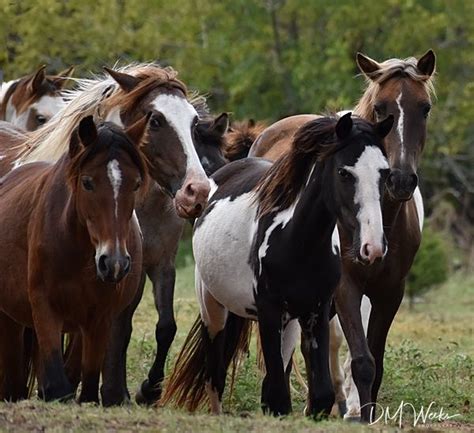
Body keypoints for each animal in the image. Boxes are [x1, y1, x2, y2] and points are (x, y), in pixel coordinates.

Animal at [0, 115, 150, 402]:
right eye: (87, 182)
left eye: (136, 183)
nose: (113, 263)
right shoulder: (45, 309)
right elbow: (58, 388)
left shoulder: (99, 319)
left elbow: (87, 389)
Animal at [161, 113, 394, 416]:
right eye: (344, 173)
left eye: (385, 173)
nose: (373, 246)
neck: (297, 240)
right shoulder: (269, 312)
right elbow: (278, 398)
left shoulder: (316, 312)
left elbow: (318, 396)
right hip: (213, 308)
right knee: (215, 376)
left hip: (289, 322)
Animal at [248, 49, 436, 418]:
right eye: (380, 106)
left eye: (425, 107)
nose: (400, 180)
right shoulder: (344, 287)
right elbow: (361, 359)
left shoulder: (390, 293)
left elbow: (374, 359)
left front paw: (364, 412)